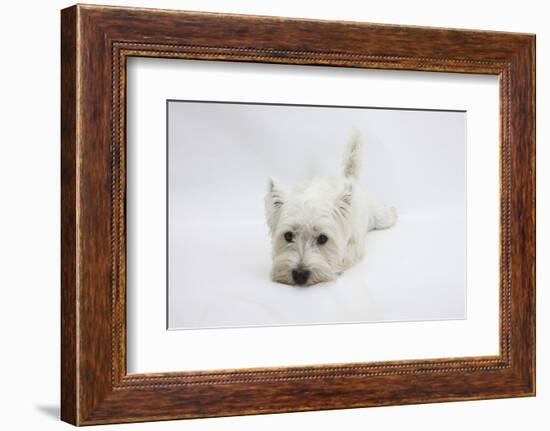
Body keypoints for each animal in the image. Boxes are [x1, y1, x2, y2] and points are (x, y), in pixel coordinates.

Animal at [266, 132, 398, 286]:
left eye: (323, 238)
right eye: (288, 236)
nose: (299, 275)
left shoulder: (354, 244)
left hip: (379, 217)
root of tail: (349, 178)